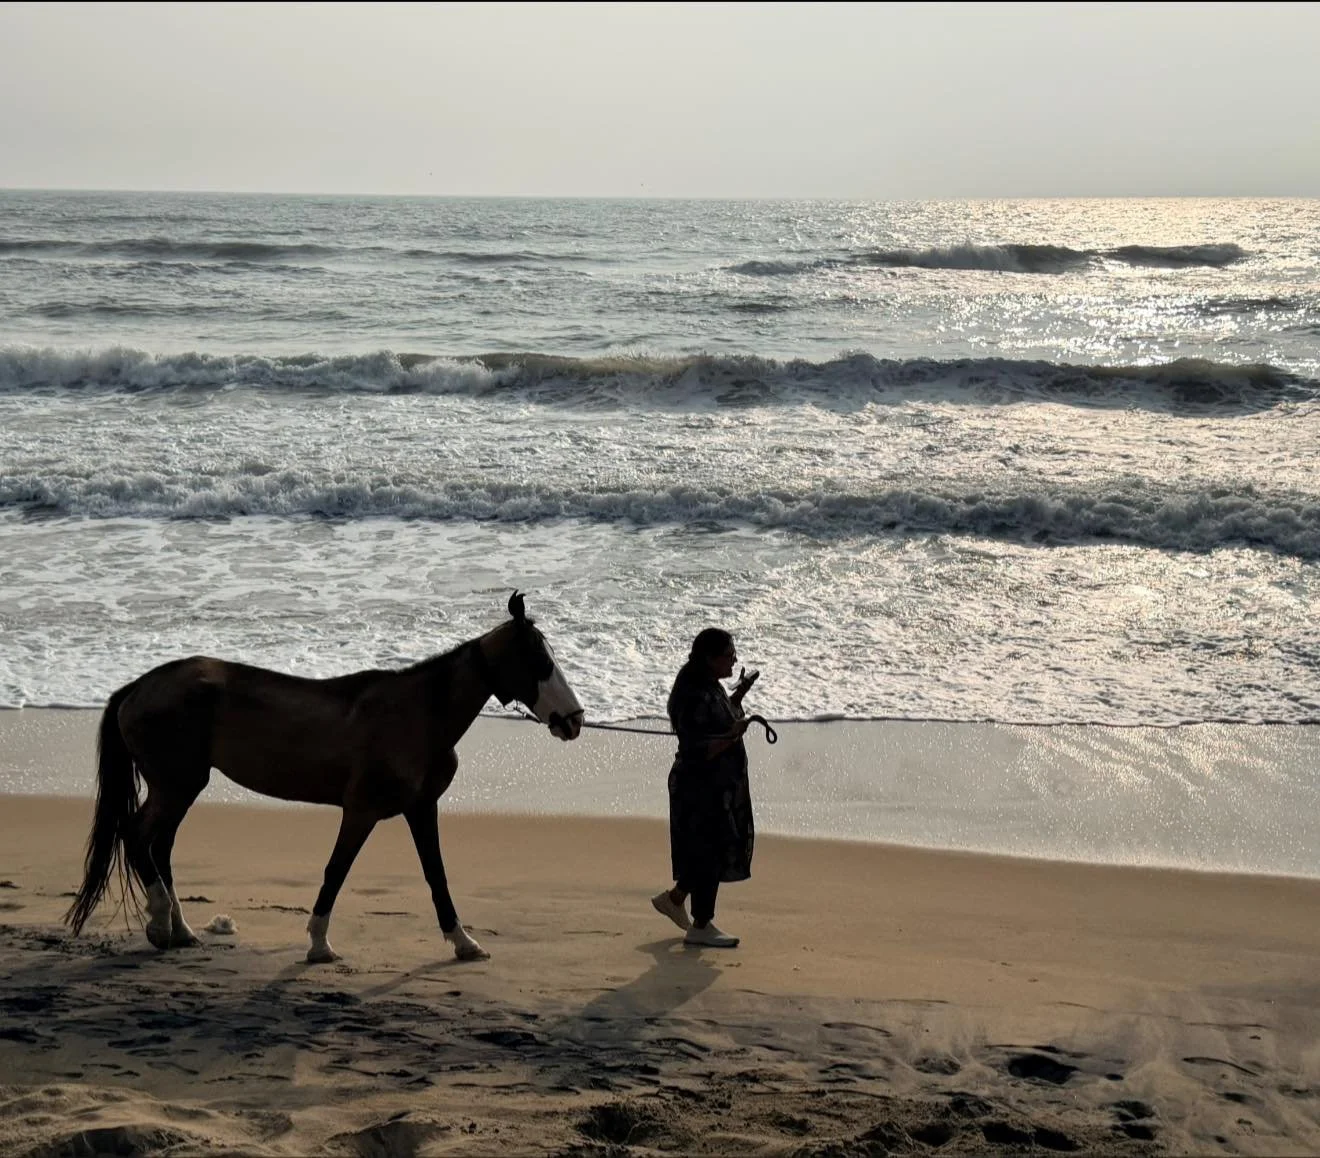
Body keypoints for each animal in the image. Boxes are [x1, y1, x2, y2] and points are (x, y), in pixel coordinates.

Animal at [64, 591, 583, 963]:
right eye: (540, 661)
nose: (574, 720)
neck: (418, 714)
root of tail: (138, 686)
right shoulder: (361, 811)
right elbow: (337, 870)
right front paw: (318, 944)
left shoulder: (420, 808)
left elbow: (435, 873)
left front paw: (464, 942)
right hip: (176, 786)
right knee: (139, 837)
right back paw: (158, 926)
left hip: (180, 787)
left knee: (160, 846)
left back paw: (182, 931)